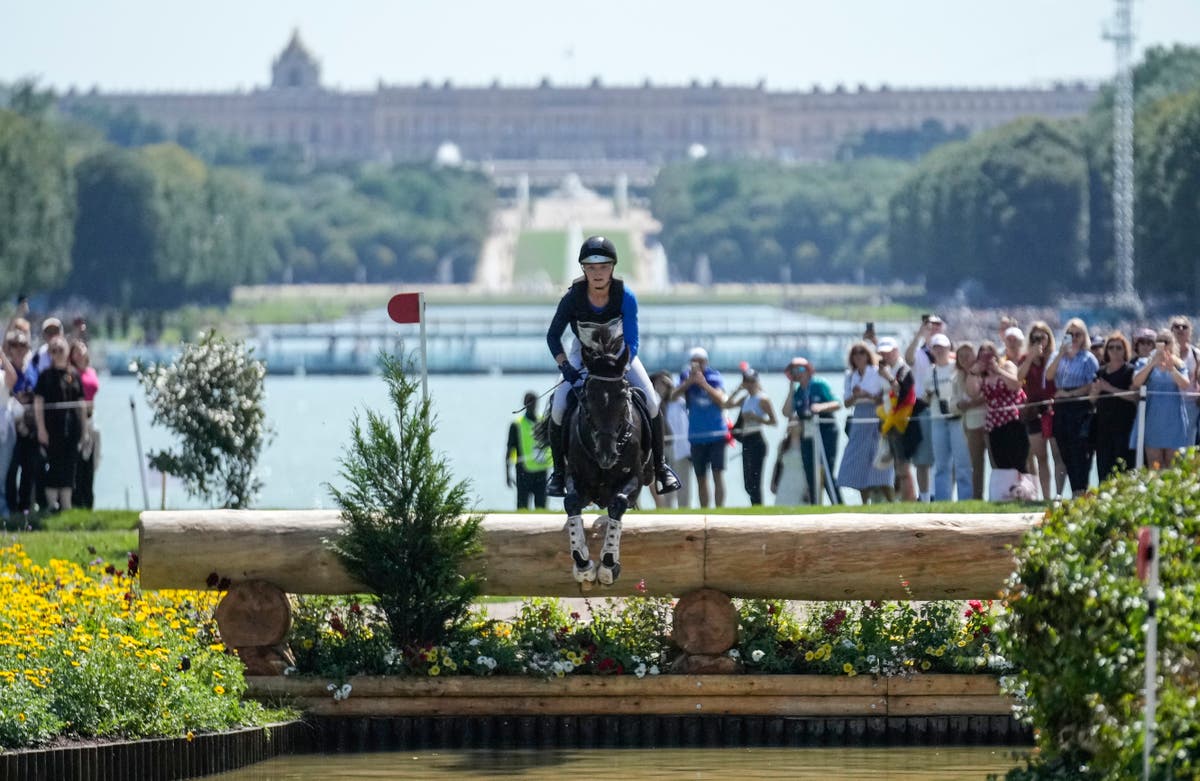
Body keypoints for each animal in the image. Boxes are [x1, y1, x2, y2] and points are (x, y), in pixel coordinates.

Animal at [542, 338, 652, 583]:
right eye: (587, 398)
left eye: (622, 396)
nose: (606, 455)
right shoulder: (578, 480)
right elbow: (571, 502)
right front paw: (583, 563)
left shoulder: (635, 480)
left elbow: (619, 503)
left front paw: (608, 564)